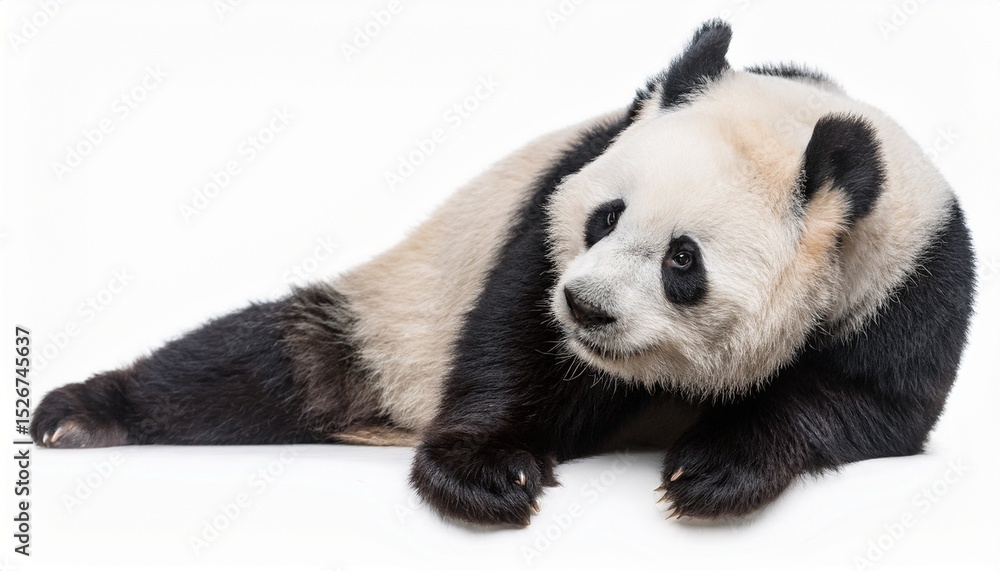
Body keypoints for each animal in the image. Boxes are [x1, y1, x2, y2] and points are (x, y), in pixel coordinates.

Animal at [32, 20, 975, 527]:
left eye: (683, 259)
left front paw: (713, 469)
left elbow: (857, 405)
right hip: (395, 316)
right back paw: (78, 414)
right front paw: (489, 473)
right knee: (267, 362)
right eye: (606, 217)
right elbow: (517, 342)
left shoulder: (909, 289)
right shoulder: (548, 209)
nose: (587, 308)